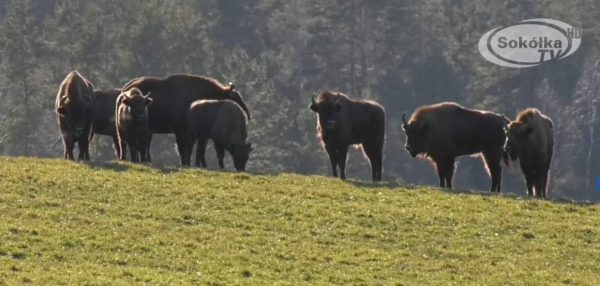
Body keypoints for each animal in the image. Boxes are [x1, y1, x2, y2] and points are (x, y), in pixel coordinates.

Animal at [122, 75, 251, 166]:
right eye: (235, 98)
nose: (248, 115)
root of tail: (125, 88)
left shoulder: (190, 133)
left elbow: (189, 148)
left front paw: (188, 163)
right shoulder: (181, 131)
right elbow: (183, 148)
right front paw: (184, 163)